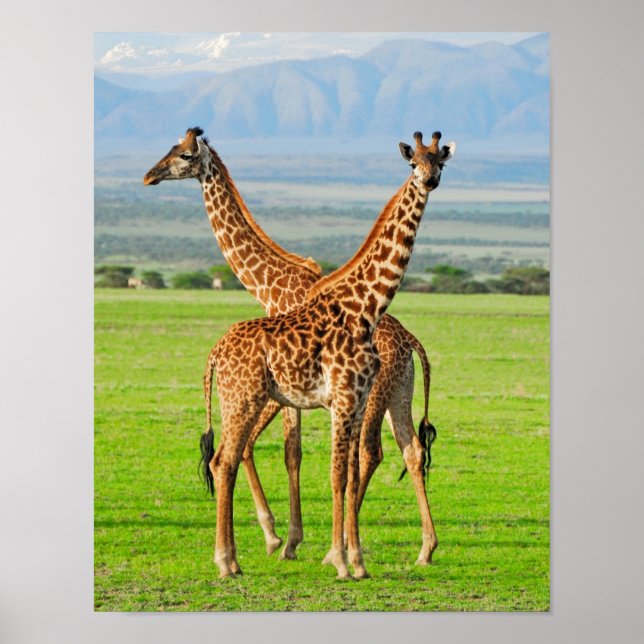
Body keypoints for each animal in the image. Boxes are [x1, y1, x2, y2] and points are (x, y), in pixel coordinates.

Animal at [146, 130, 454, 579]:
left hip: (384, 394)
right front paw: (301, 544)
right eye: (413, 163)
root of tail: (412, 341)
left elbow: (322, 466)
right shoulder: (312, 398)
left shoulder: (329, 399)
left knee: (381, 453)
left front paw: (306, 545)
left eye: (184, 155)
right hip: (379, 395)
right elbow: (299, 458)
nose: (149, 176)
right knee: (229, 458)